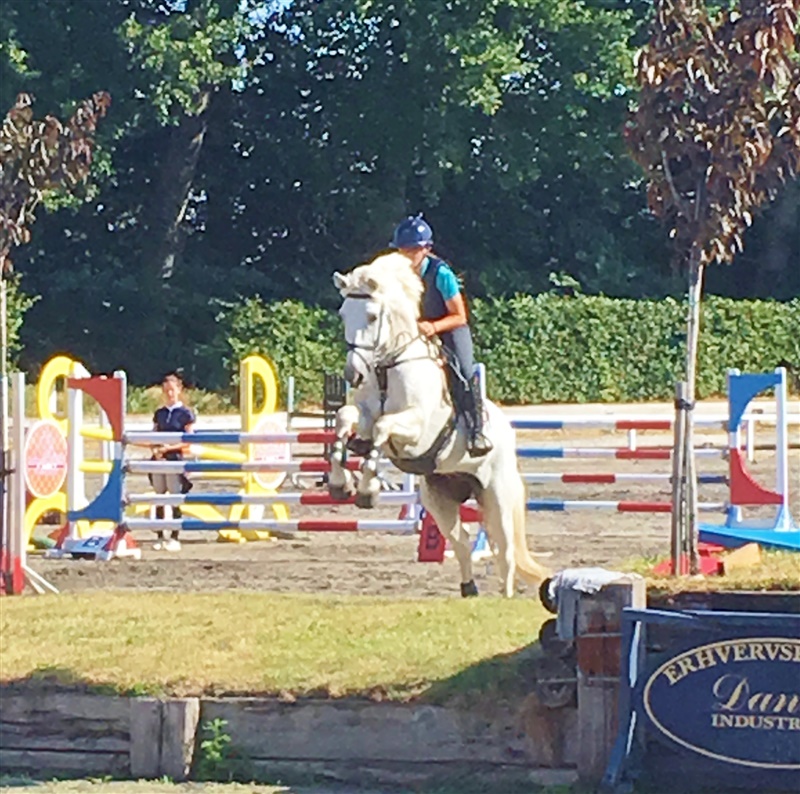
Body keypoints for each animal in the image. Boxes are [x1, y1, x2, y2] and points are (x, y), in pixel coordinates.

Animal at [328, 252, 549, 598]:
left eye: (372, 316)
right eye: (342, 314)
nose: (354, 375)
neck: (388, 367)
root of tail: (508, 430)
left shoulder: (416, 429)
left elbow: (383, 427)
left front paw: (367, 489)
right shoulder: (363, 417)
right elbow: (346, 419)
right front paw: (340, 483)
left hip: (497, 494)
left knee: (505, 550)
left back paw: (505, 597)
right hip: (439, 497)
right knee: (461, 542)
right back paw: (469, 591)